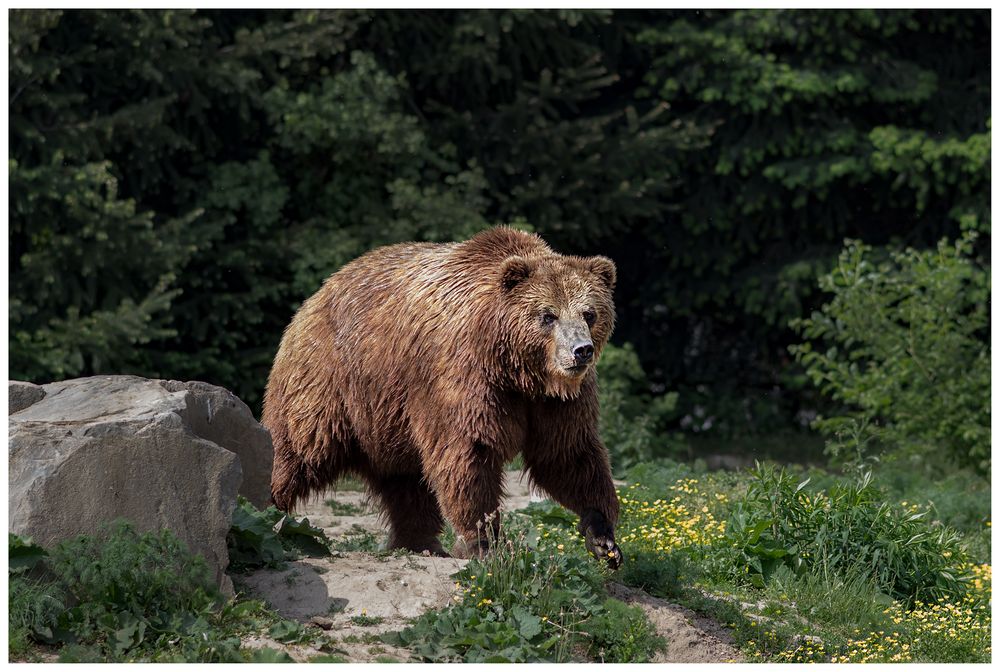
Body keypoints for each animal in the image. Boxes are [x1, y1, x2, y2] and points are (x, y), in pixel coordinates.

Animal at [262, 227, 620, 568]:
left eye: (589, 313)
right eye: (548, 315)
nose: (581, 350)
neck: (518, 371)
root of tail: (316, 295)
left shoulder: (556, 402)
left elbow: (567, 454)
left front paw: (602, 537)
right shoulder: (464, 377)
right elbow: (469, 454)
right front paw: (483, 542)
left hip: (390, 417)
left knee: (406, 482)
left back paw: (421, 542)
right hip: (332, 381)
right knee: (297, 448)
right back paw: (268, 510)